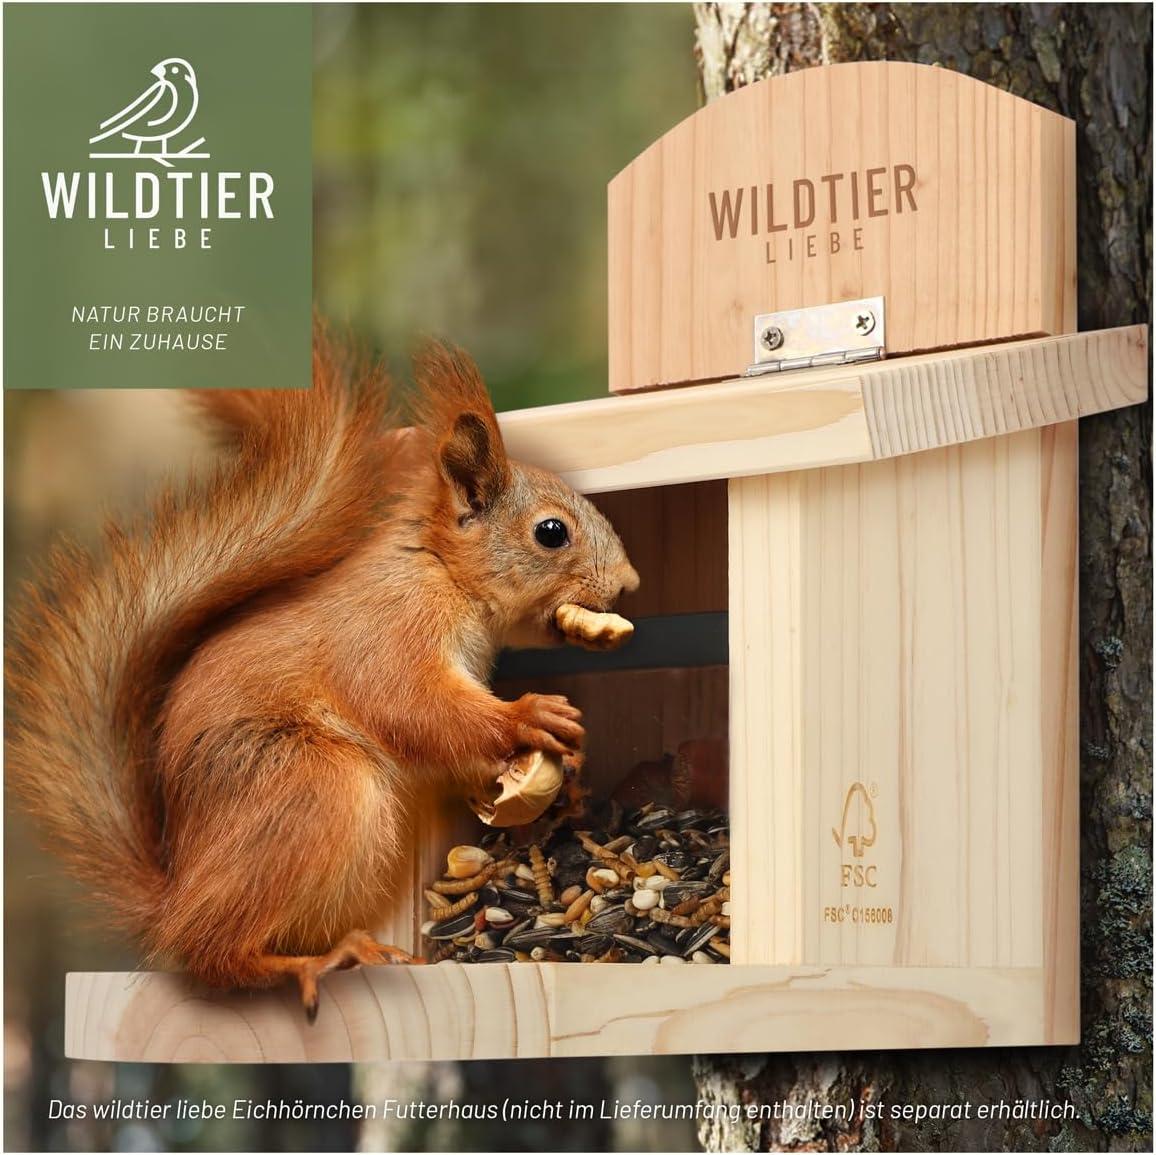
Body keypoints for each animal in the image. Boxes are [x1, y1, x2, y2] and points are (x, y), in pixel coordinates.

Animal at [6, 334, 639, 1017]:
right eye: (552, 532)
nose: (629, 583)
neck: (440, 570)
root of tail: (172, 894)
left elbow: (450, 747)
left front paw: (549, 770)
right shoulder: (389, 631)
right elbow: (414, 707)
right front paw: (530, 715)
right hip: (311, 787)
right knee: (210, 953)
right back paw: (313, 961)